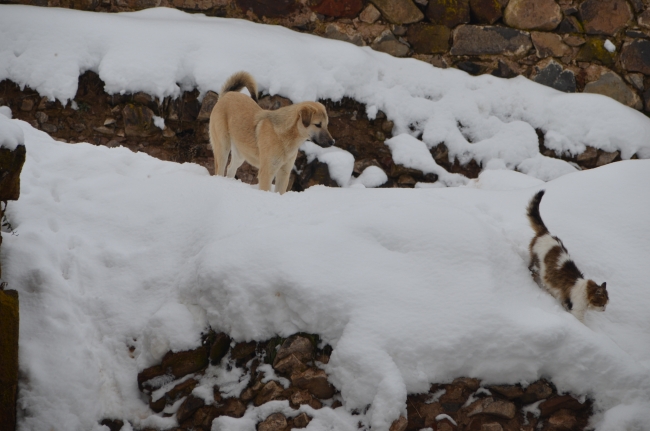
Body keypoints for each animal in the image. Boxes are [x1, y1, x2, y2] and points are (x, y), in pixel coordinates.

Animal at [524, 191, 604, 322]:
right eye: (602, 303)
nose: (604, 310)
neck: (584, 289)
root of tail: (546, 233)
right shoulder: (576, 309)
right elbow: (581, 322)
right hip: (537, 264)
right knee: (531, 271)